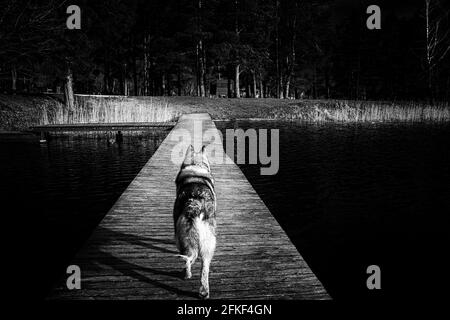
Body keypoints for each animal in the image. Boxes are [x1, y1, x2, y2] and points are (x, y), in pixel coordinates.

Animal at [173, 145, 217, 300]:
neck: (196, 166)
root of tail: (196, 208)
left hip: (184, 240)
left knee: (189, 260)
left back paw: (186, 275)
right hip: (208, 246)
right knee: (203, 269)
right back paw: (203, 292)